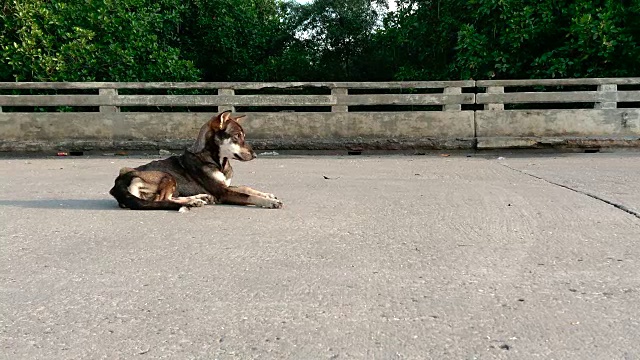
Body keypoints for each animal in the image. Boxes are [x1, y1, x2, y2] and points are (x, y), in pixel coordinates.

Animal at [110, 111, 282, 210]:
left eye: (243, 136)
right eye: (236, 136)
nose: (255, 155)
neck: (216, 161)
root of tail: (118, 183)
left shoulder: (224, 186)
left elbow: (246, 188)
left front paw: (267, 195)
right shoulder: (223, 192)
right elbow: (248, 196)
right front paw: (269, 202)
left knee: (169, 198)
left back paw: (198, 199)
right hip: (166, 176)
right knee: (162, 200)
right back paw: (191, 202)